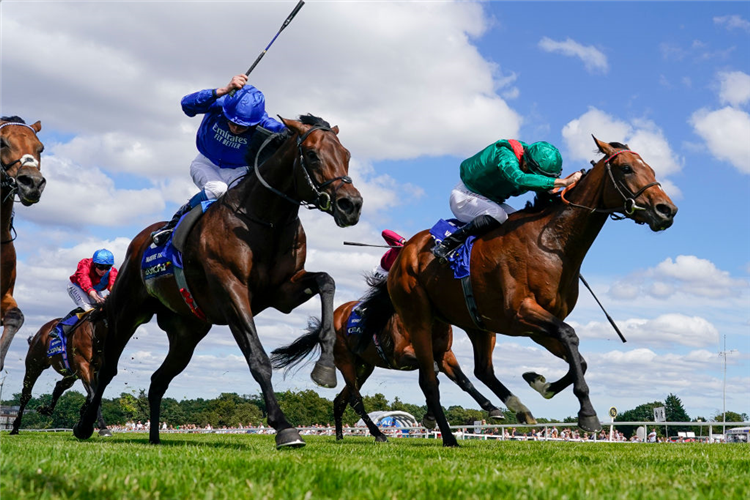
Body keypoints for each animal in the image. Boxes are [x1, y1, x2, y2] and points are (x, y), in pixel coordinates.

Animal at [8, 304, 110, 434]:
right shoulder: (84, 367)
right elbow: (93, 395)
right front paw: (102, 427)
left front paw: (83, 418)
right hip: (34, 365)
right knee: (26, 395)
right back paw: (15, 428)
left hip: (70, 374)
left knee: (59, 387)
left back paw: (46, 410)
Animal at [74, 115, 364, 448]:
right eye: (314, 155)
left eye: (347, 155)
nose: (351, 204)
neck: (265, 220)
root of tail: (138, 243)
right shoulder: (231, 290)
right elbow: (258, 358)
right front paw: (284, 427)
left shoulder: (283, 292)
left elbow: (327, 281)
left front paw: (325, 367)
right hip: (127, 313)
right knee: (107, 369)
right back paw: (85, 425)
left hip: (187, 332)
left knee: (158, 380)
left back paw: (155, 438)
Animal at [270, 276, 506, 444]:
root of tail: (334, 316)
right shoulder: (402, 356)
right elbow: (433, 375)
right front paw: (431, 415)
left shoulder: (445, 354)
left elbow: (463, 381)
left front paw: (492, 408)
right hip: (345, 361)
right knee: (355, 399)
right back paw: (378, 434)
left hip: (364, 367)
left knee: (340, 400)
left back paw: (339, 436)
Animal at [360, 136, 680, 446]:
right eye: (626, 168)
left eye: (652, 168)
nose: (667, 210)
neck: (552, 243)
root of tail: (403, 252)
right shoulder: (520, 313)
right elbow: (570, 336)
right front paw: (587, 414)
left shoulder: (538, 326)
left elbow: (579, 357)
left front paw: (540, 383)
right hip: (419, 319)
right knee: (429, 380)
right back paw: (449, 437)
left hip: (474, 324)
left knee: (481, 370)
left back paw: (515, 408)